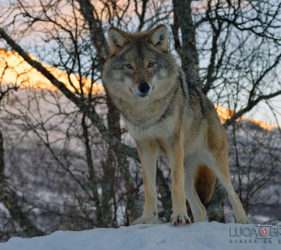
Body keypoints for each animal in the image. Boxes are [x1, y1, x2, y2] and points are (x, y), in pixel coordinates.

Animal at [101, 24, 247, 226]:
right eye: (129, 66)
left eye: (151, 64)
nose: (144, 87)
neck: (147, 113)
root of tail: (208, 102)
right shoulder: (145, 147)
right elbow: (149, 188)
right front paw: (148, 219)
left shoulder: (173, 144)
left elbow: (175, 186)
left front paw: (179, 216)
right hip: (186, 167)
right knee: (200, 208)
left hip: (214, 161)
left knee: (234, 195)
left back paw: (242, 222)